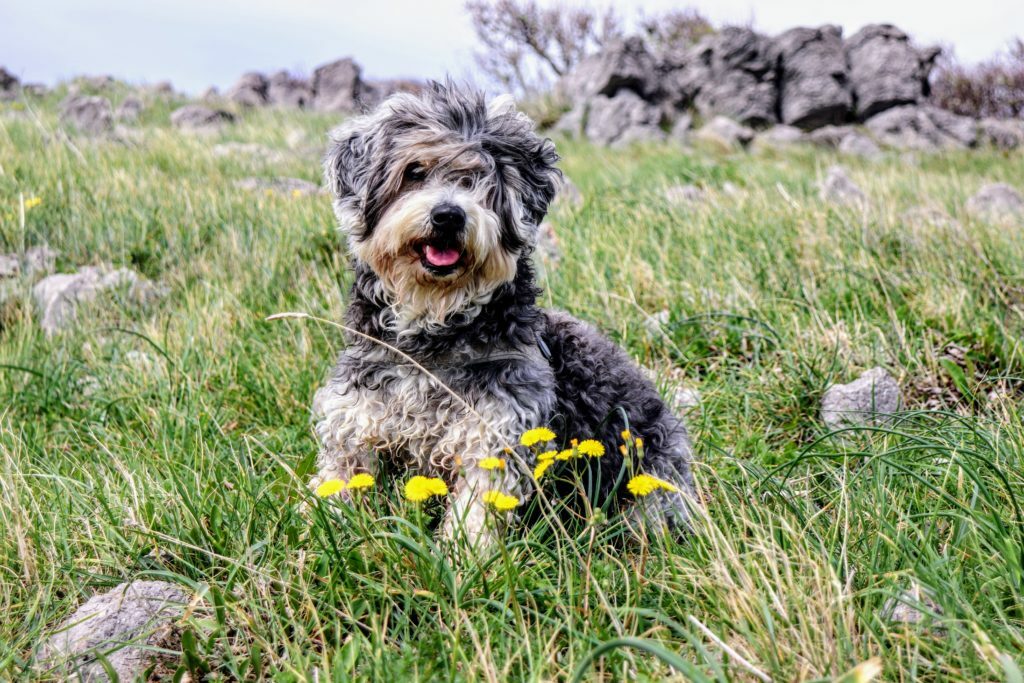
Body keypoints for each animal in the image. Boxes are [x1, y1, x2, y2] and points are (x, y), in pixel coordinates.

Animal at [311, 82, 696, 548]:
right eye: (415, 171)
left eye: (481, 180)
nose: (448, 215)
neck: (431, 342)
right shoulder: (356, 422)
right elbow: (340, 484)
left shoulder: (499, 433)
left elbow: (478, 511)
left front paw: (463, 555)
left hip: (654, 486)